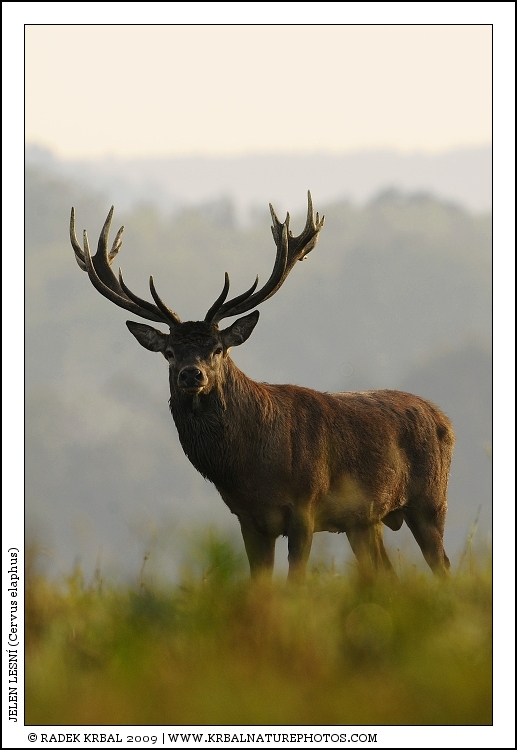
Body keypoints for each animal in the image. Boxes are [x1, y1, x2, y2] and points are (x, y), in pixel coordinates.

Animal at [70, 193, 454, 582]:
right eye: (169, 352)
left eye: (218, 348)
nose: (192, 375)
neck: (252, 469)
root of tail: (444, 419)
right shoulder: (248, 519)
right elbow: (260, 584)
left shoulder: (306, 507)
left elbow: (295, 582)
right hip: (364, 521)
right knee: (386, 573)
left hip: (431, 501)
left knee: (444, 567)